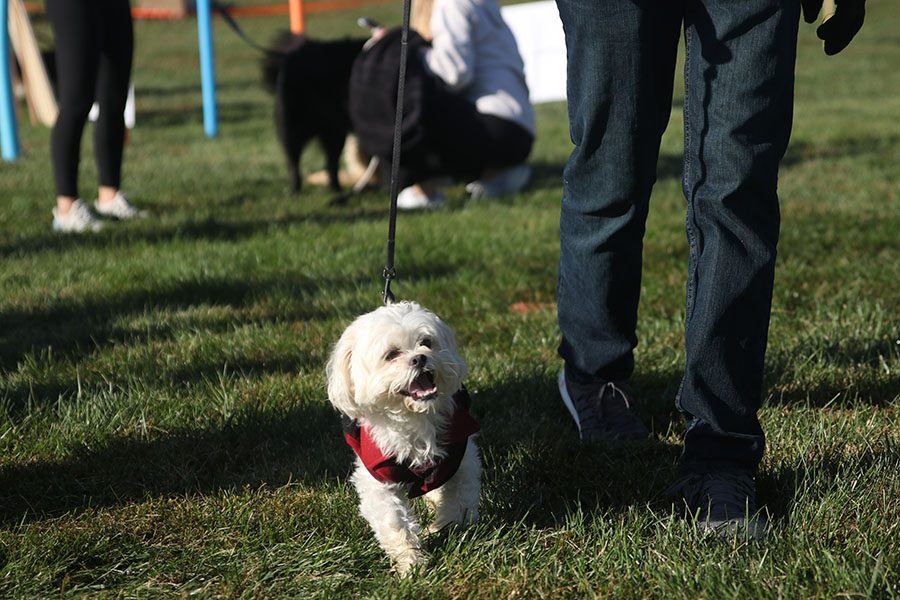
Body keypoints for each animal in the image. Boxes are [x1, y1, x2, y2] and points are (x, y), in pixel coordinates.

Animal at [264, 33, 366, 192]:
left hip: (334, 129)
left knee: (331, 162)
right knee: (293, 159)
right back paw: (295, 190)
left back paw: (336, 189)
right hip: (296, 127)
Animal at [326, 302, 482, 576]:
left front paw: (446, 530)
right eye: (391, 355)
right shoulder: (377, 478)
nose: (420, 358)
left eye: (426, 342)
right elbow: (394, 522)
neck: (415, 419)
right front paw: (411, 563)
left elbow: (459, 503)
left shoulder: (462, 460)